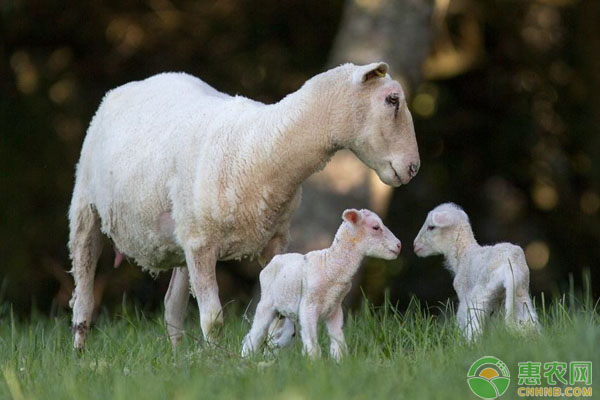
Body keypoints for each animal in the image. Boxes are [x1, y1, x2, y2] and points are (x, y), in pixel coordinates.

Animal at [241, 209, 400, 360]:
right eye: (376, 227)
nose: (399, 245)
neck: (329, 265)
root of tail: (274, 259)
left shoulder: (335, 309)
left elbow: (338, 342)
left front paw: (339, 362)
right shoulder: (308, 307)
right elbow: (312, 344)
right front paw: (313, 364)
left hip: (283, 315)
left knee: (275, 340)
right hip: (266, 302)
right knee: (254, 336)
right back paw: (245, 359)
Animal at [412, 203, 540, 340]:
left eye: (431, 227)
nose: (415, 245)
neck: (463, 254)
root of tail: (510, 267)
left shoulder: (463, 294)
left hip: (481, 292)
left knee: (474, 326)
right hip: (520, 294)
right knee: (530, 324)